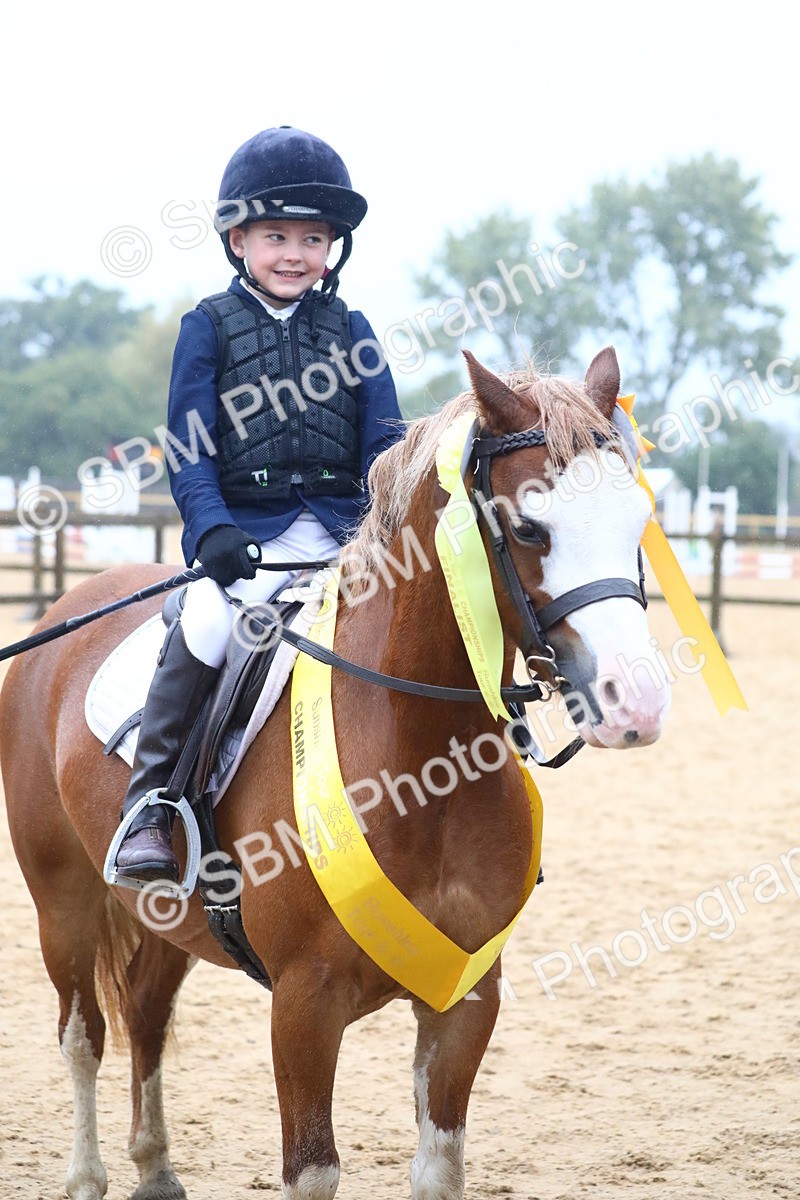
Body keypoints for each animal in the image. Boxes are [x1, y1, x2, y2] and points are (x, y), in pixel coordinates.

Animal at [0, 347, 670, 1200]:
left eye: (638, 521)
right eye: (528, 526)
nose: (637, 705)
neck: (424, 763)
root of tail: (70, 604)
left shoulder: (466, 999)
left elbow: (439, 1168)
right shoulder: (303, 1004)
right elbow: (312, 1169)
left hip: (162, 915)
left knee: (146, 1017)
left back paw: (155, 1168)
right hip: (65, 899)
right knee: (82, 1032)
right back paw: (87, 1175)